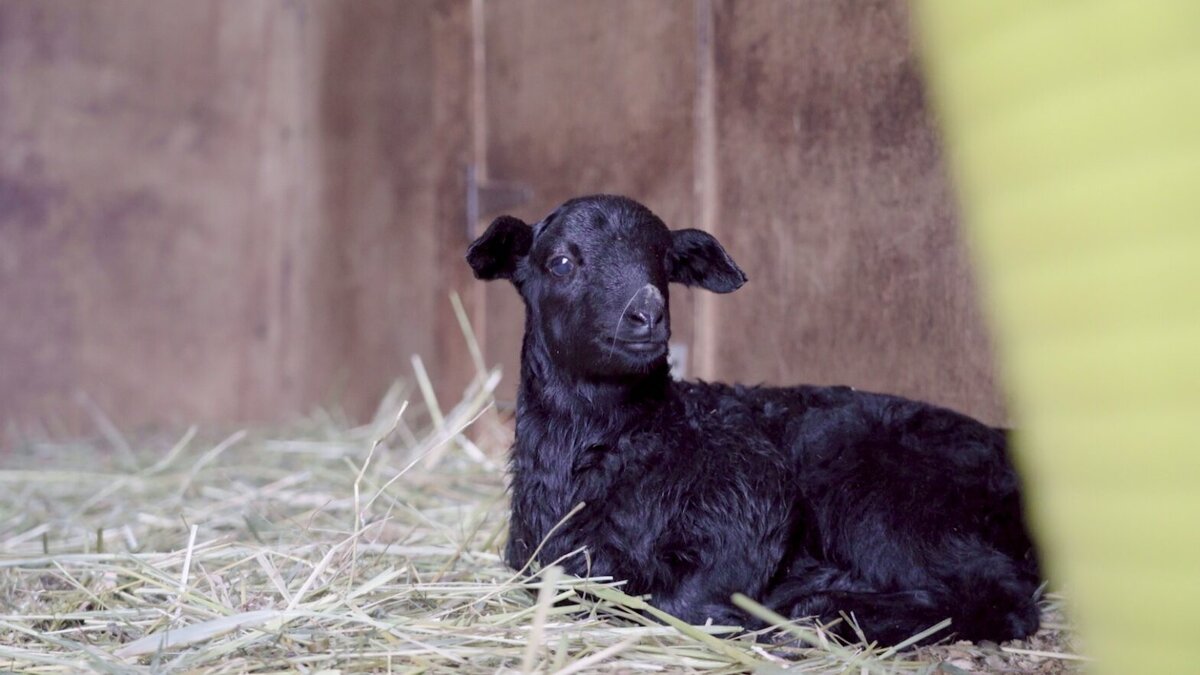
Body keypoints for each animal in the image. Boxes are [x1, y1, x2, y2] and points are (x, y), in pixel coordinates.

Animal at [468, 193, 1041, 638]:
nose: (646, 312)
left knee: (999, 593)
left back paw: (832, 610)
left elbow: (680, 605)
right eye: (561, 262)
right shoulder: (538, 560)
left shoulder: (753, 494)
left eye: (662, 263)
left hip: (889, 499)